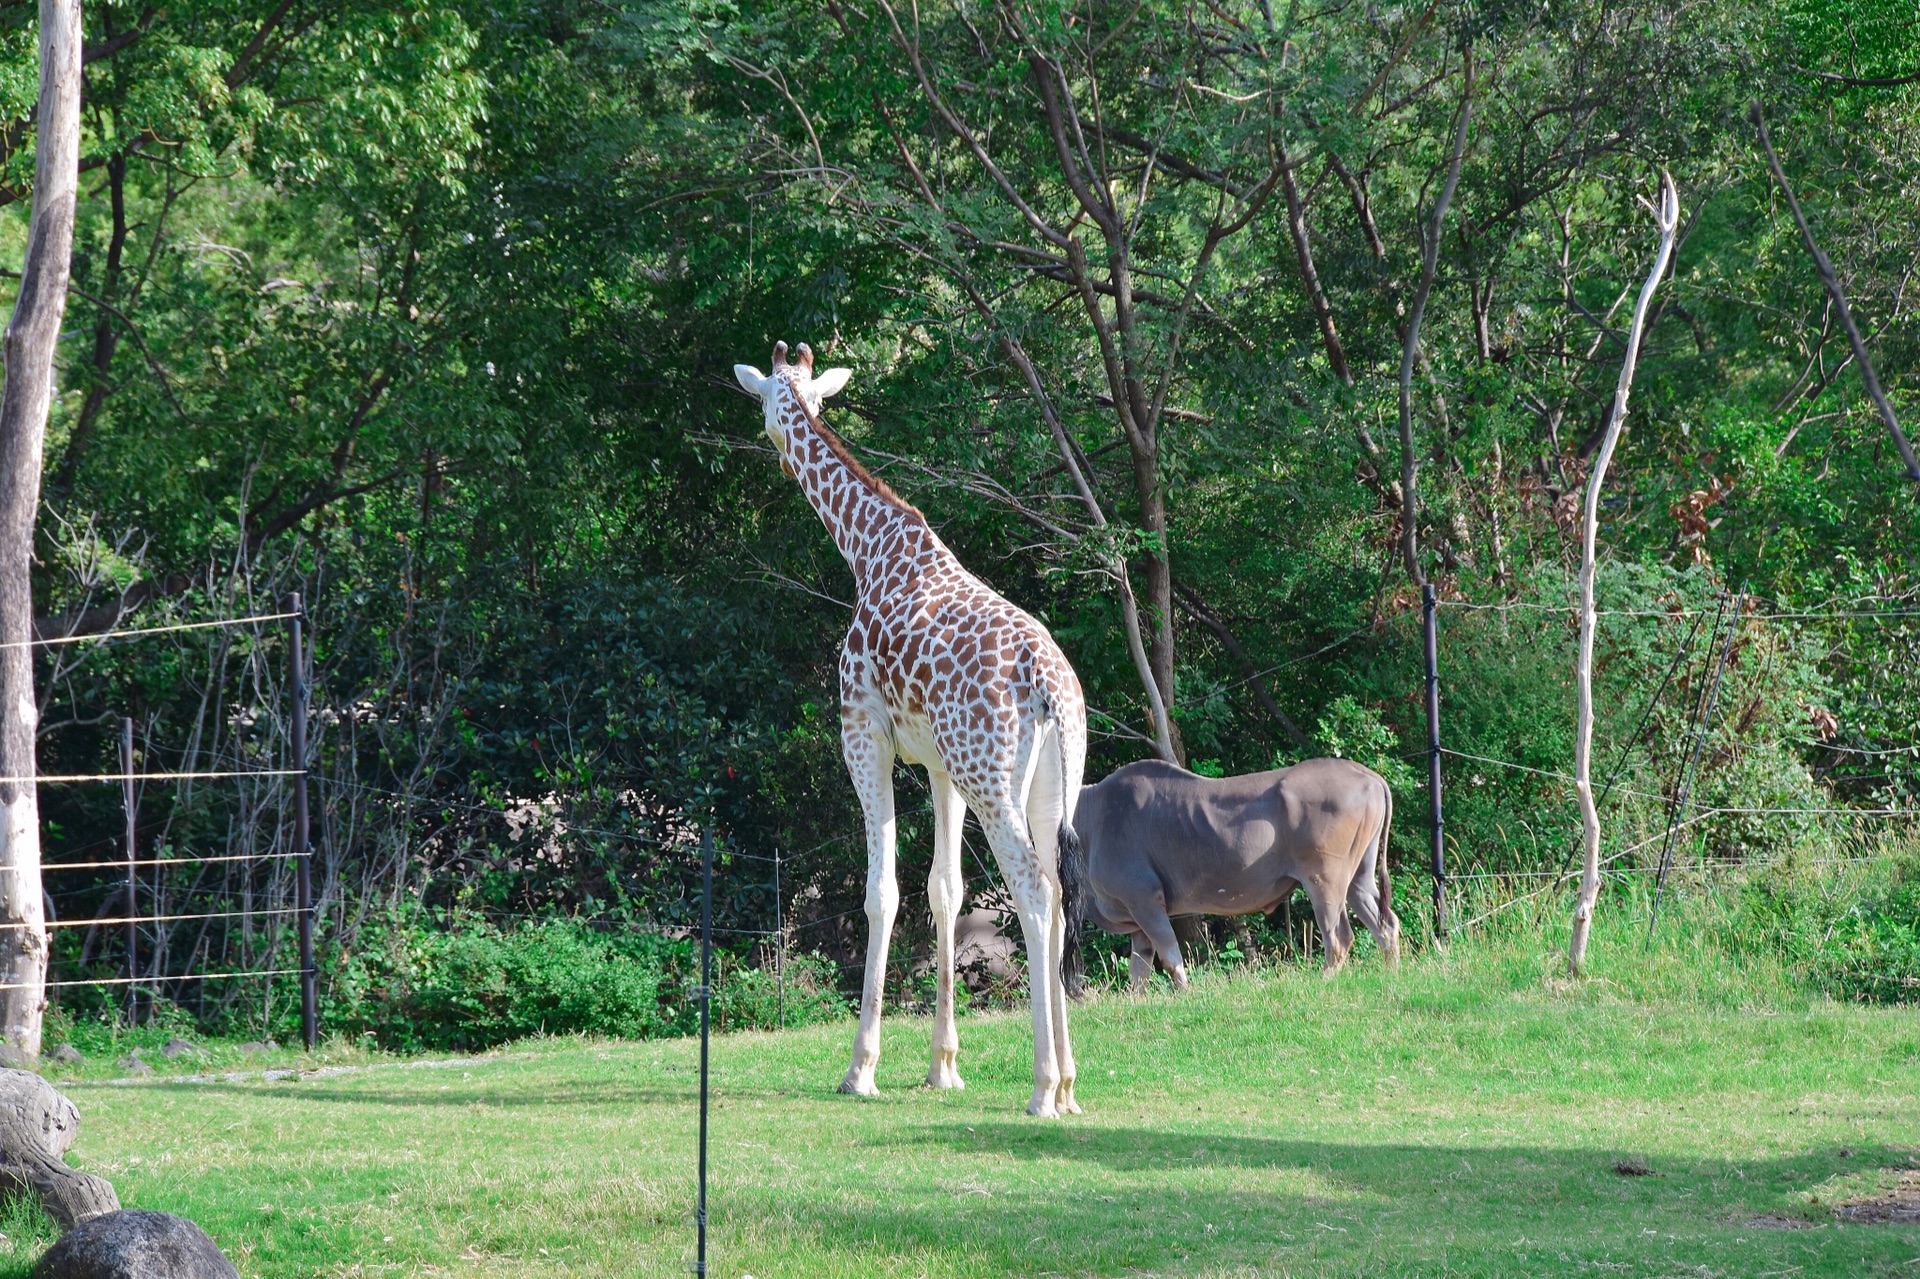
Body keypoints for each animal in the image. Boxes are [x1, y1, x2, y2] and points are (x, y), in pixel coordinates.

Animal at [733, 343, 1090, 1113]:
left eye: (771, 401)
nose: (775, 451)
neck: (866, 550)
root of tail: (1051, 686)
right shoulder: (937, 762)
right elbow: (944, 890)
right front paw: (943, 1066)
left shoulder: (863, 733)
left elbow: (884, 891)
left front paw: (860, 1068)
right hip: (1052, 781)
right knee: (1059, 887)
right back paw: (1071, 1083)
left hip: (993, 778)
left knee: (1033, 888)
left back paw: (1042, 1086)